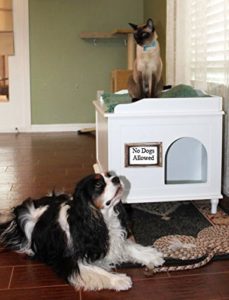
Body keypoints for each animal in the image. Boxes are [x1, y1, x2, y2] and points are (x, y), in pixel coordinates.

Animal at [0, 172, 165, 292]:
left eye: (110, 175)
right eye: (99, 185)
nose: (117, 178)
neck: (101, 218)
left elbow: (128, 247)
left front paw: (151, 256)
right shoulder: (69, 260)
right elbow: (95, 269)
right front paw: (119, 280)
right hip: (26, 222)